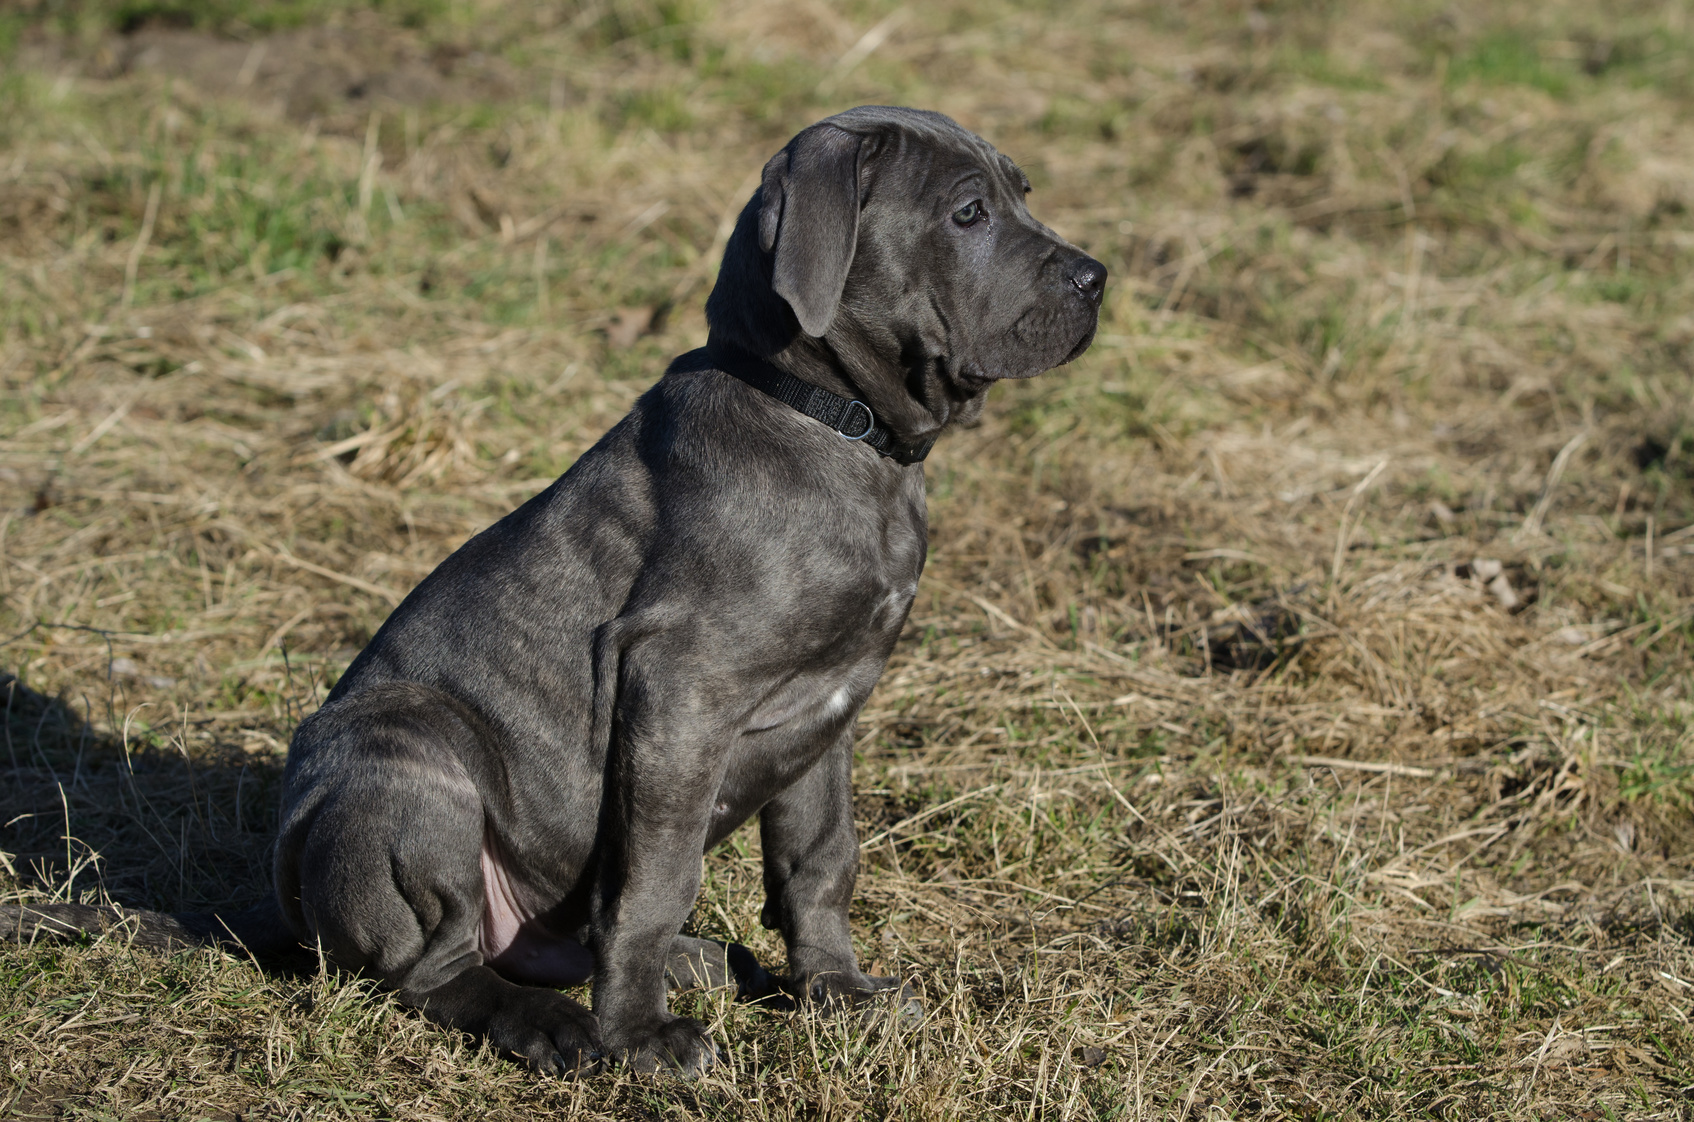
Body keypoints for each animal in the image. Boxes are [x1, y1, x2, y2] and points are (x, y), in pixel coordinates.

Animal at [0, 107, 1104, 1084]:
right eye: (967, 213)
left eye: (1020, 193)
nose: (1098, 277)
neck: (829, 421)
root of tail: (283, 914)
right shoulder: (679, 690)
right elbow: (654, 879)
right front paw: (640, 1043)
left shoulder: (827, 711)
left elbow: (818, 860)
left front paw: (837, 993)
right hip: (410, 764)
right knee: (431, 971)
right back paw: (560, 1028)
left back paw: (693, 966)